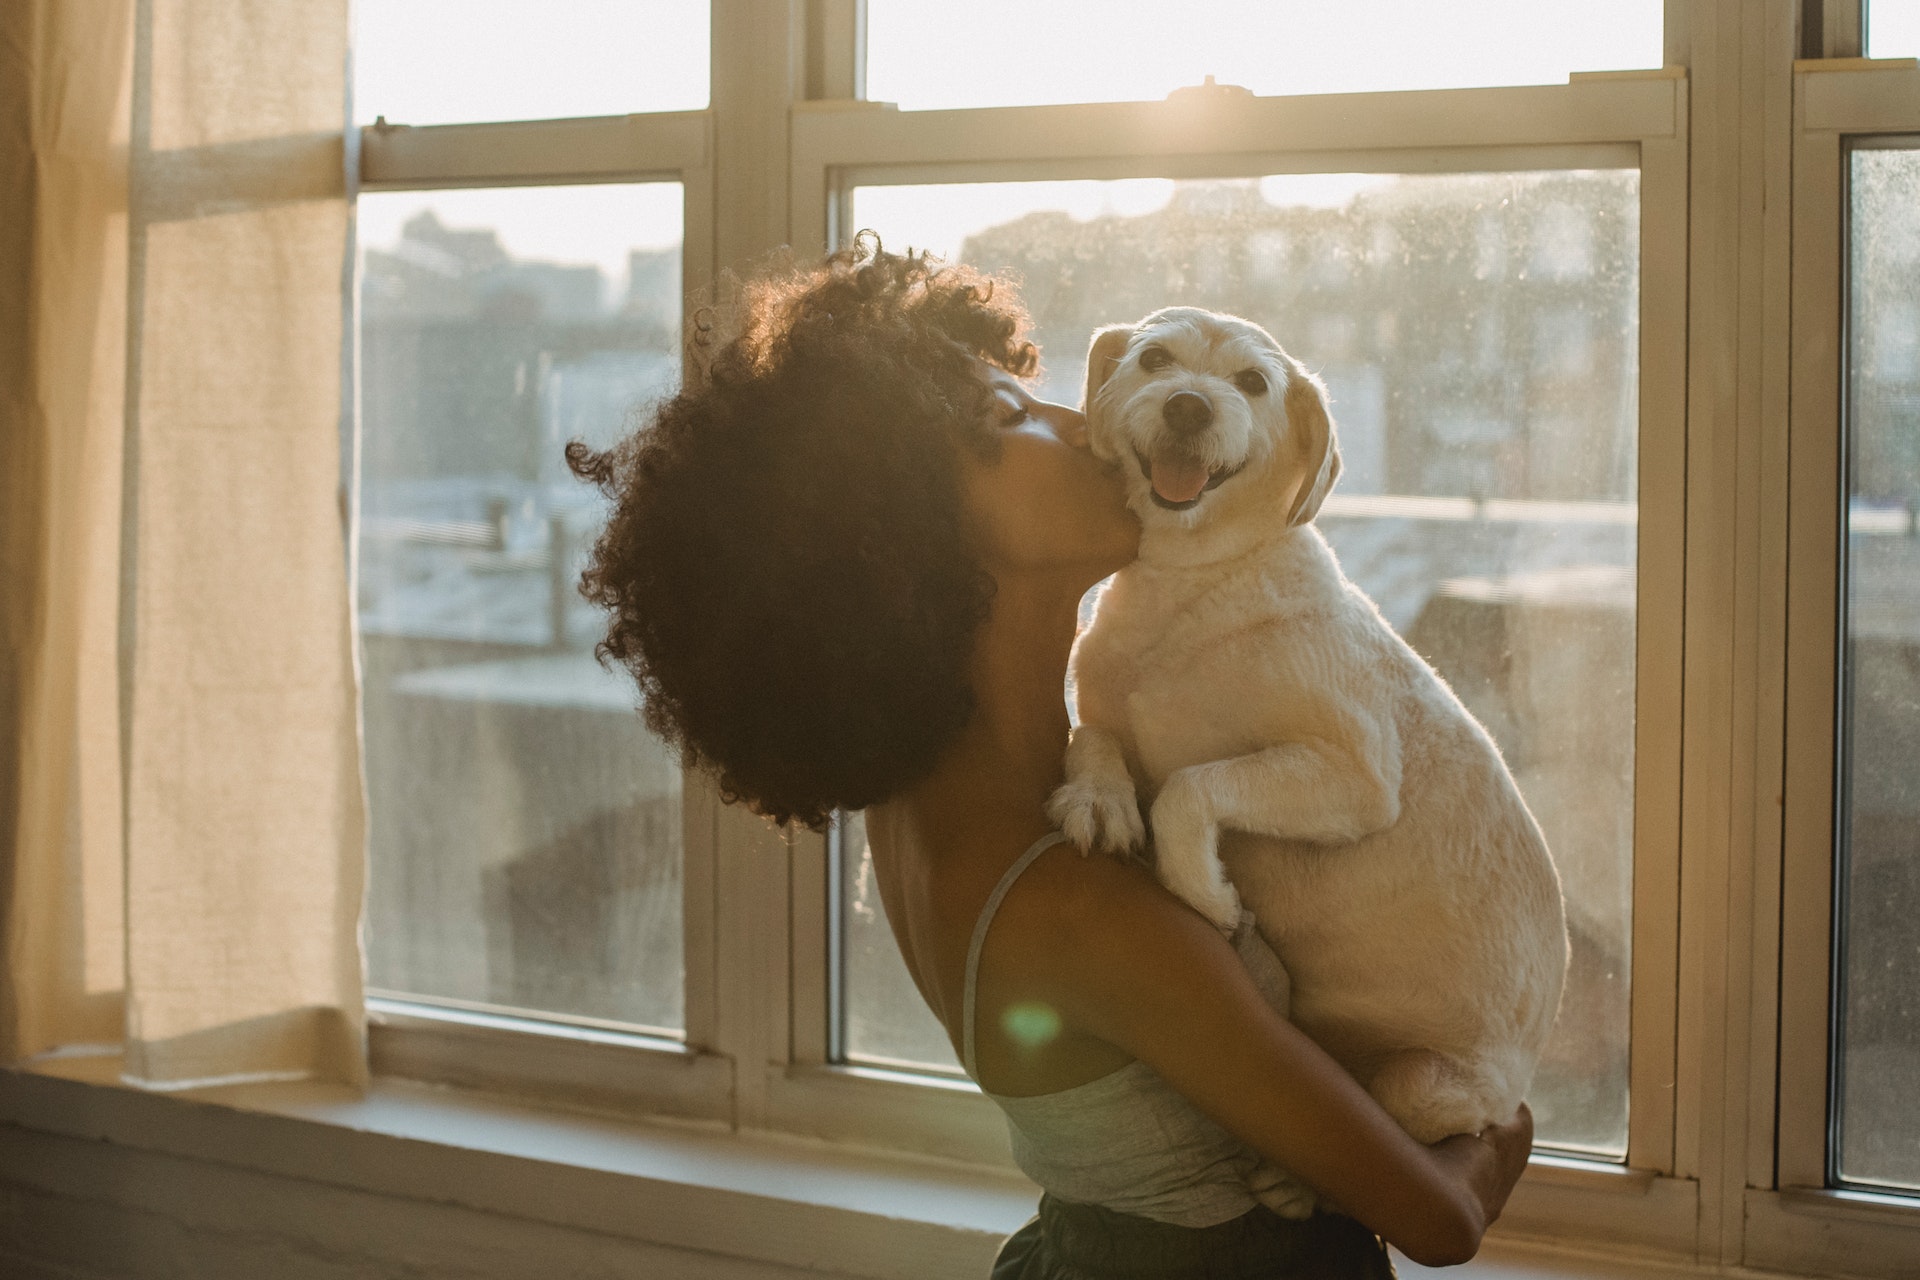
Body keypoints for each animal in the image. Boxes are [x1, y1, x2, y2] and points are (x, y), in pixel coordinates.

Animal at [1052, 301, 1574, 1182]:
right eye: (1154, 359)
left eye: (1252, 382)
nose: (1188, 406)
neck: (1192, 584)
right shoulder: (1103, 702)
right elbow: (1095, 737)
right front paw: (1099, 798)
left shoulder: (1352, 776)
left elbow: (1193, 784)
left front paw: (1205, 893)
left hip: (1424, 1087)